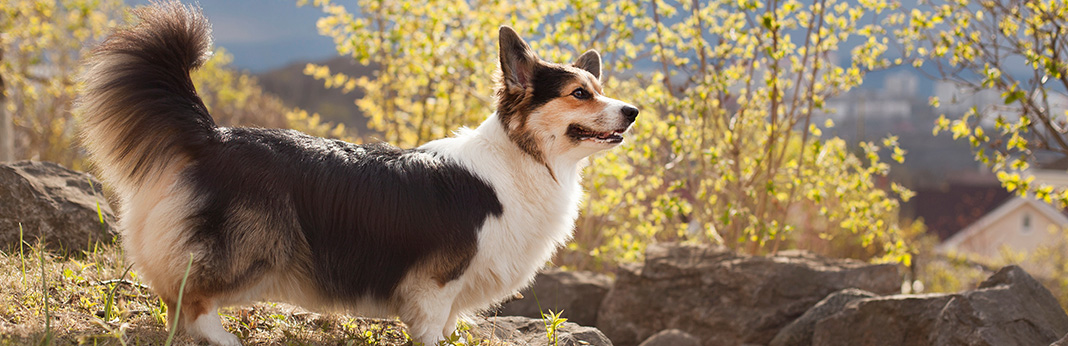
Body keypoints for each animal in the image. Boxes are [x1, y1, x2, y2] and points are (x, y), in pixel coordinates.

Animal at [77, 1, 632, 343]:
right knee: (189, 300)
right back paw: (225, 339)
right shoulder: (433, 288)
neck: (524, 158)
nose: (633, 112)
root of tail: (214, 137)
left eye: (599, 89)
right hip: (255, 247)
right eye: (579, 94)